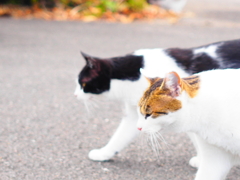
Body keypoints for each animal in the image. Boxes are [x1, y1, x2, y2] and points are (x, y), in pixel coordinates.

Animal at [74, 39, 240, 165]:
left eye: (83, 83)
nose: (75, 94)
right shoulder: (136, 115)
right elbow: (120, 136)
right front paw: (104, 153)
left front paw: (201, 161)